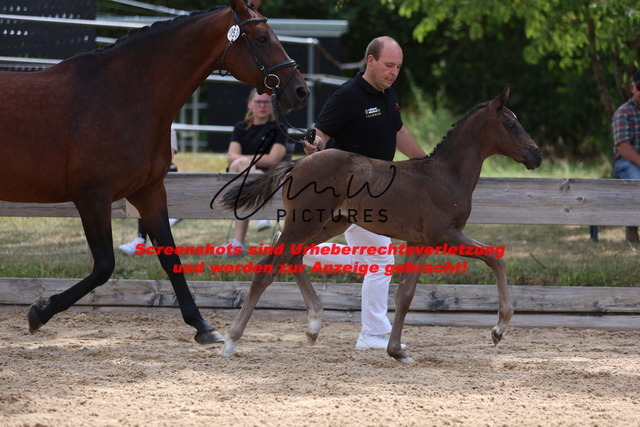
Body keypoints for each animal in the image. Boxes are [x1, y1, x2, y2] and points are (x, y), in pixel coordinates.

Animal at [0, 0, 308, 344]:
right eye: (262, 38)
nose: (300, 91)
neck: (121, 96)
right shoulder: (93, 197)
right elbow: (104, 266)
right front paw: (39, 312)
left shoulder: (148, 192)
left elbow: (169, 256)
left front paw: (202, 326)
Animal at [217, 86, 542, 362]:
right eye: (511, 125)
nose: (536, 155)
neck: (446, 175)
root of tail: (297, 163)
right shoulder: (445, 235)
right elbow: (495, 258)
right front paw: (499, 329)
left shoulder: (420, 242)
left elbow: (405, 294)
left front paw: (396, 351)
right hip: (305, 224)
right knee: (266, 268)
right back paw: (231, 341)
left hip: (326, 225)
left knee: (291, 256)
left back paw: (314, 325)